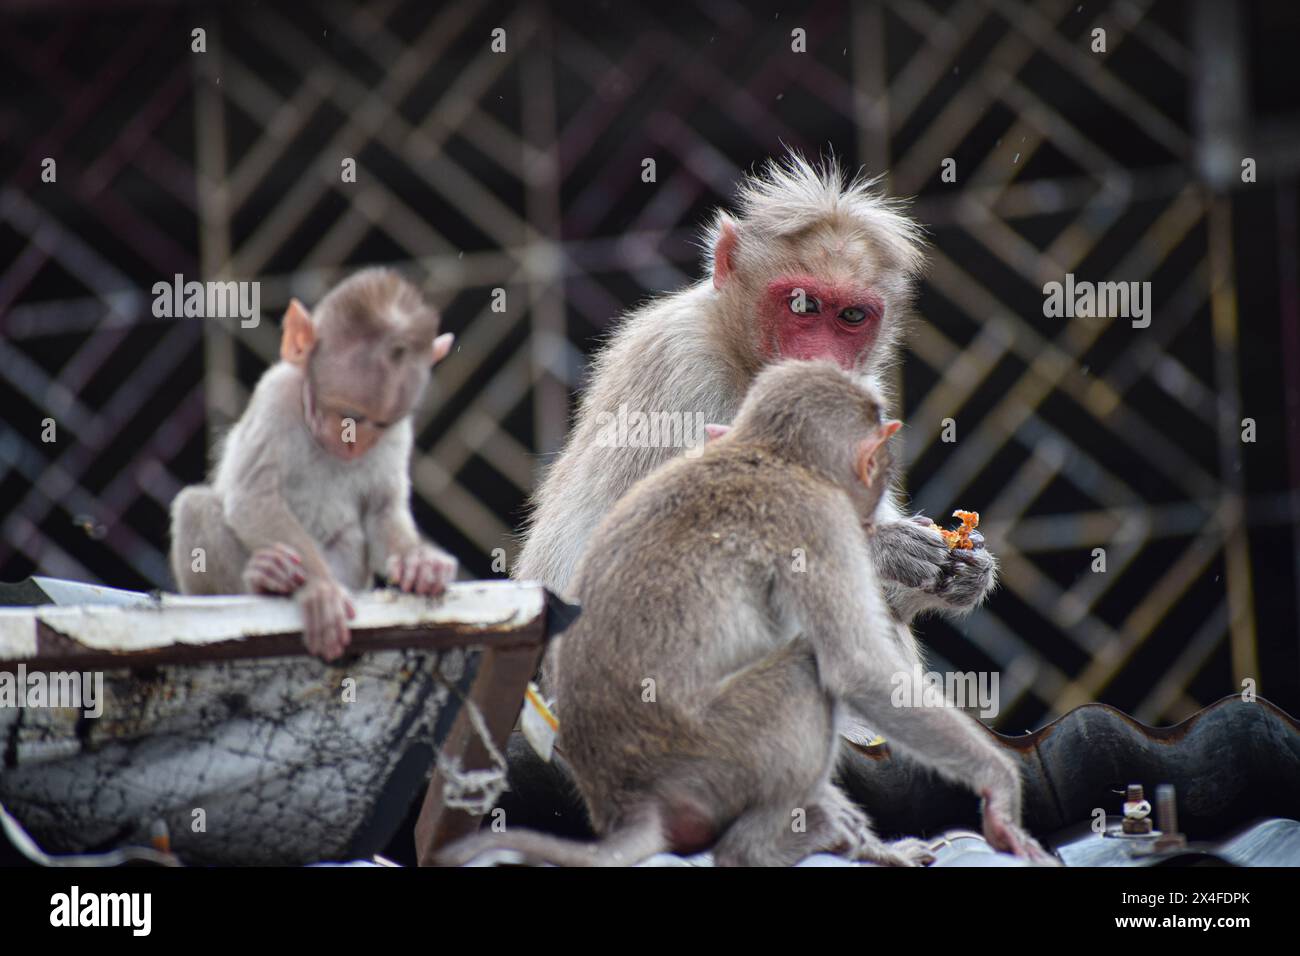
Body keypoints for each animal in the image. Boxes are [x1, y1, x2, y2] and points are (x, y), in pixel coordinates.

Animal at [169, 267, 458, 661]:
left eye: (380, 424)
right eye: (347, 415)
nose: (354, 445)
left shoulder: (398, 432)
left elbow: (383, 509)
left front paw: (419, 563)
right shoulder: (277, 395)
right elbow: (254, 498)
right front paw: (320, 590)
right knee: (194, 506)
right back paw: (264, 582)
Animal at [439, 361, 1053, 867]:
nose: (878, 484)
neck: (769, 453)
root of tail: (628, 805)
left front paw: (967, 571)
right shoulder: (817, 519)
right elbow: (856, 667)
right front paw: (1000, 789)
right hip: (711, 757)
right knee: (806, 671)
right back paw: (761, 846)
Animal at [516, 151, 996, 632]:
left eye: (852, 315)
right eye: (803, 305)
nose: (819, 363)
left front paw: (968, 571)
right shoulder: (680, 365)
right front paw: (885, 546)